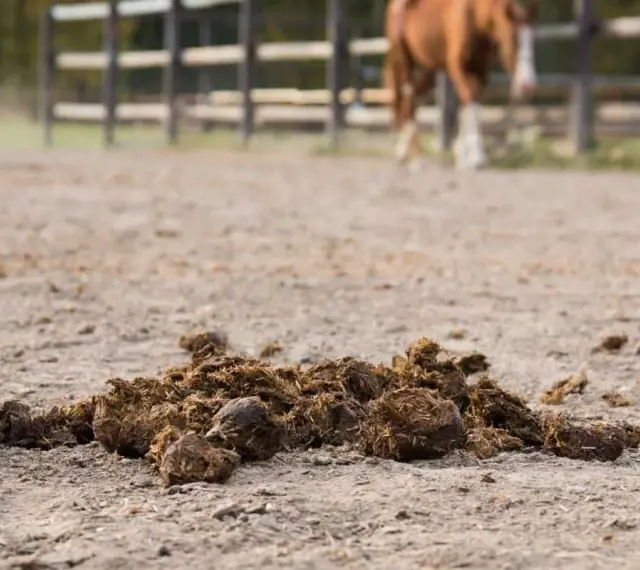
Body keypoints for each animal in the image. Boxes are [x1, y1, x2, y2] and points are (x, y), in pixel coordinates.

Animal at [384, 0, 540, 170]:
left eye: (532, 39)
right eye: (514, 39)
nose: (527, 84)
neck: (474, 17)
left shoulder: (480, 72)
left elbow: (472, 105)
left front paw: (463, 156)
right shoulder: (457, 68)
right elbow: (469, 99)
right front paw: (476, 157)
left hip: (429, 67)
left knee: (413, 98)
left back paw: (403, 151)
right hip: (403, 60)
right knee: (409, 98)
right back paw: (415, 158)